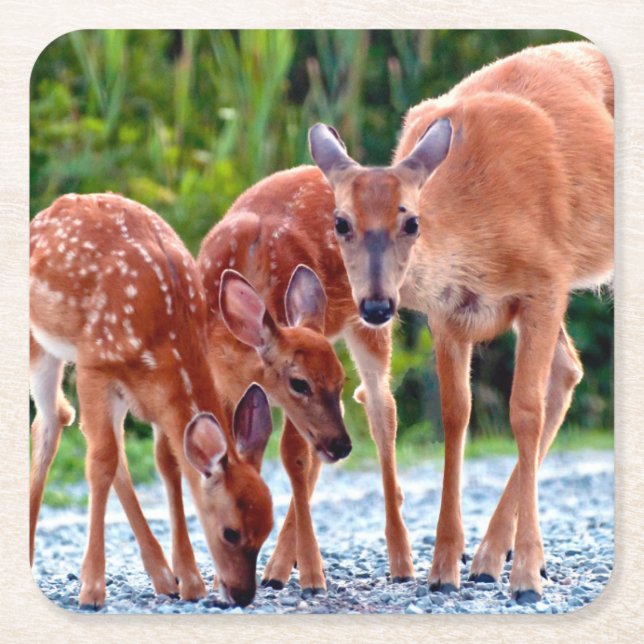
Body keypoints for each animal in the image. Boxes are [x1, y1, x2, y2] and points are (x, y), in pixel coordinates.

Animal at [29, 193, 275, 609]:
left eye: (268, 528)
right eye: (230, 532)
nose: (242, 595)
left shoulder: (154, 394)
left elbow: (168, 464)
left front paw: (190, 580)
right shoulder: (95, 363)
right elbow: (100, 463)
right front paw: (91, 589)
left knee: (86, 434)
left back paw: (162, 576)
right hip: (42, 345)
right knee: (53, 422)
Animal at [196, 167, 416, 593]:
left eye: (338, 378)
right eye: (300, 383)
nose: (343, 446)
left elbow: (293, 458)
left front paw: (313, 576)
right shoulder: (223, 383)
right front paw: (220, 578)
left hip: (371, 317)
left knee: (382, 409)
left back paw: (401, 561)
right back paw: (280, 567)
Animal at [308, 41, 613, 603]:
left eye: (411, 221)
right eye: (340, 223)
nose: (377, 306)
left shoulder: (547, 282)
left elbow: (524, 411)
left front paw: (526, 576)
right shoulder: (447, 313)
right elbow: (456, 414)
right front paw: (445, 568)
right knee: (569, 370)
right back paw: (490, 557)